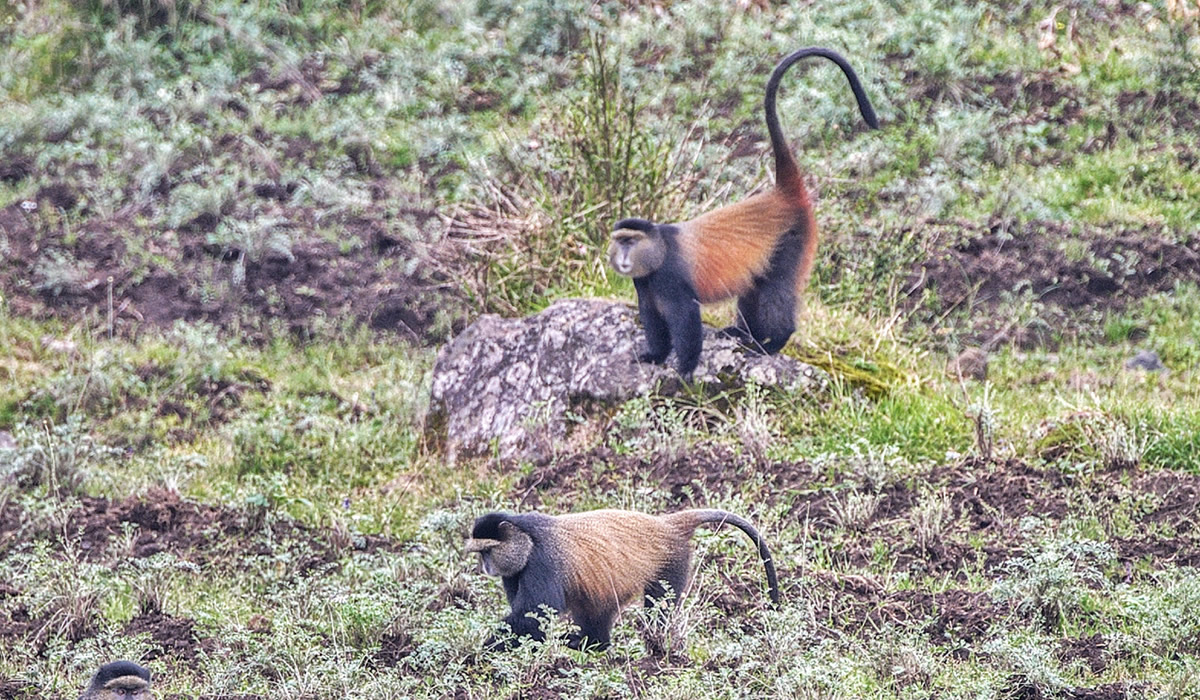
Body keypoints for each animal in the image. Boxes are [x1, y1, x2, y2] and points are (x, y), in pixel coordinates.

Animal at [465, 508, 779, 650]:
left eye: (488, 551)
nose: (486, 567)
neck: (526, 537)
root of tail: (667, 525)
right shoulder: (515, 571)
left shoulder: (542, 561)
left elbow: (535, 614)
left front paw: (480, 651)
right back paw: (594, 643)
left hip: (671, 563)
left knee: (660, 607)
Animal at [608, 47, 880, 378]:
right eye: (620, 241)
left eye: (631, 241)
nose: (623, 256)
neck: (658, 249)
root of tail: (783, 195)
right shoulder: (644, 283)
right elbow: (652, 320)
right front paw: (655, 355)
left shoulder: (671, 280)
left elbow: (686, 321)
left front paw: (685, 371)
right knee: (755, 286)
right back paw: (744, 333)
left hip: (791, 243)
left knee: (777, 290)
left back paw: (774, 342)